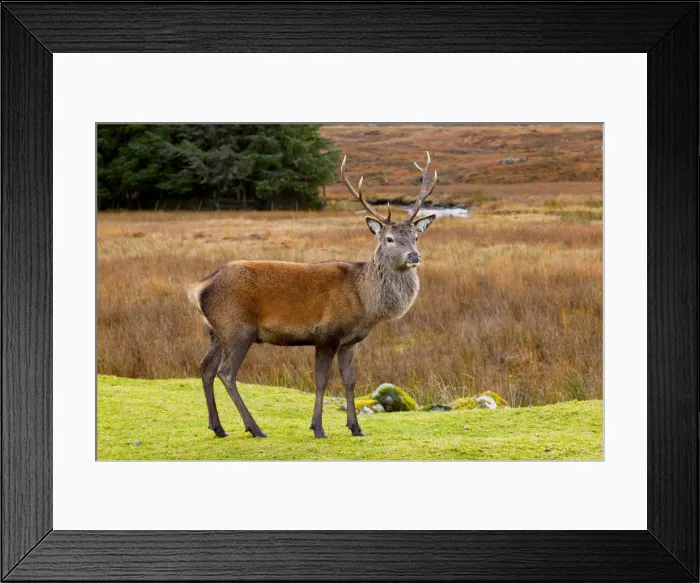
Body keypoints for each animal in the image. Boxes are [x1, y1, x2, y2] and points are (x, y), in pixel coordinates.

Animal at [187, 152, 438, 439]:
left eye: (416, 236)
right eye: (389, 239)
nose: (414, 256)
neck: (364, 300)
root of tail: (199, 288)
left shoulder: (351, 341)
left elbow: (350, 380)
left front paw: (355, 427)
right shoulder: (326, 333)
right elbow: (321, 380)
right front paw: (318, 427)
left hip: (216, 331)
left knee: (205, 367)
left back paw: (218, 427)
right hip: (237, 328)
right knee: (226, 372)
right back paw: (254, 427)